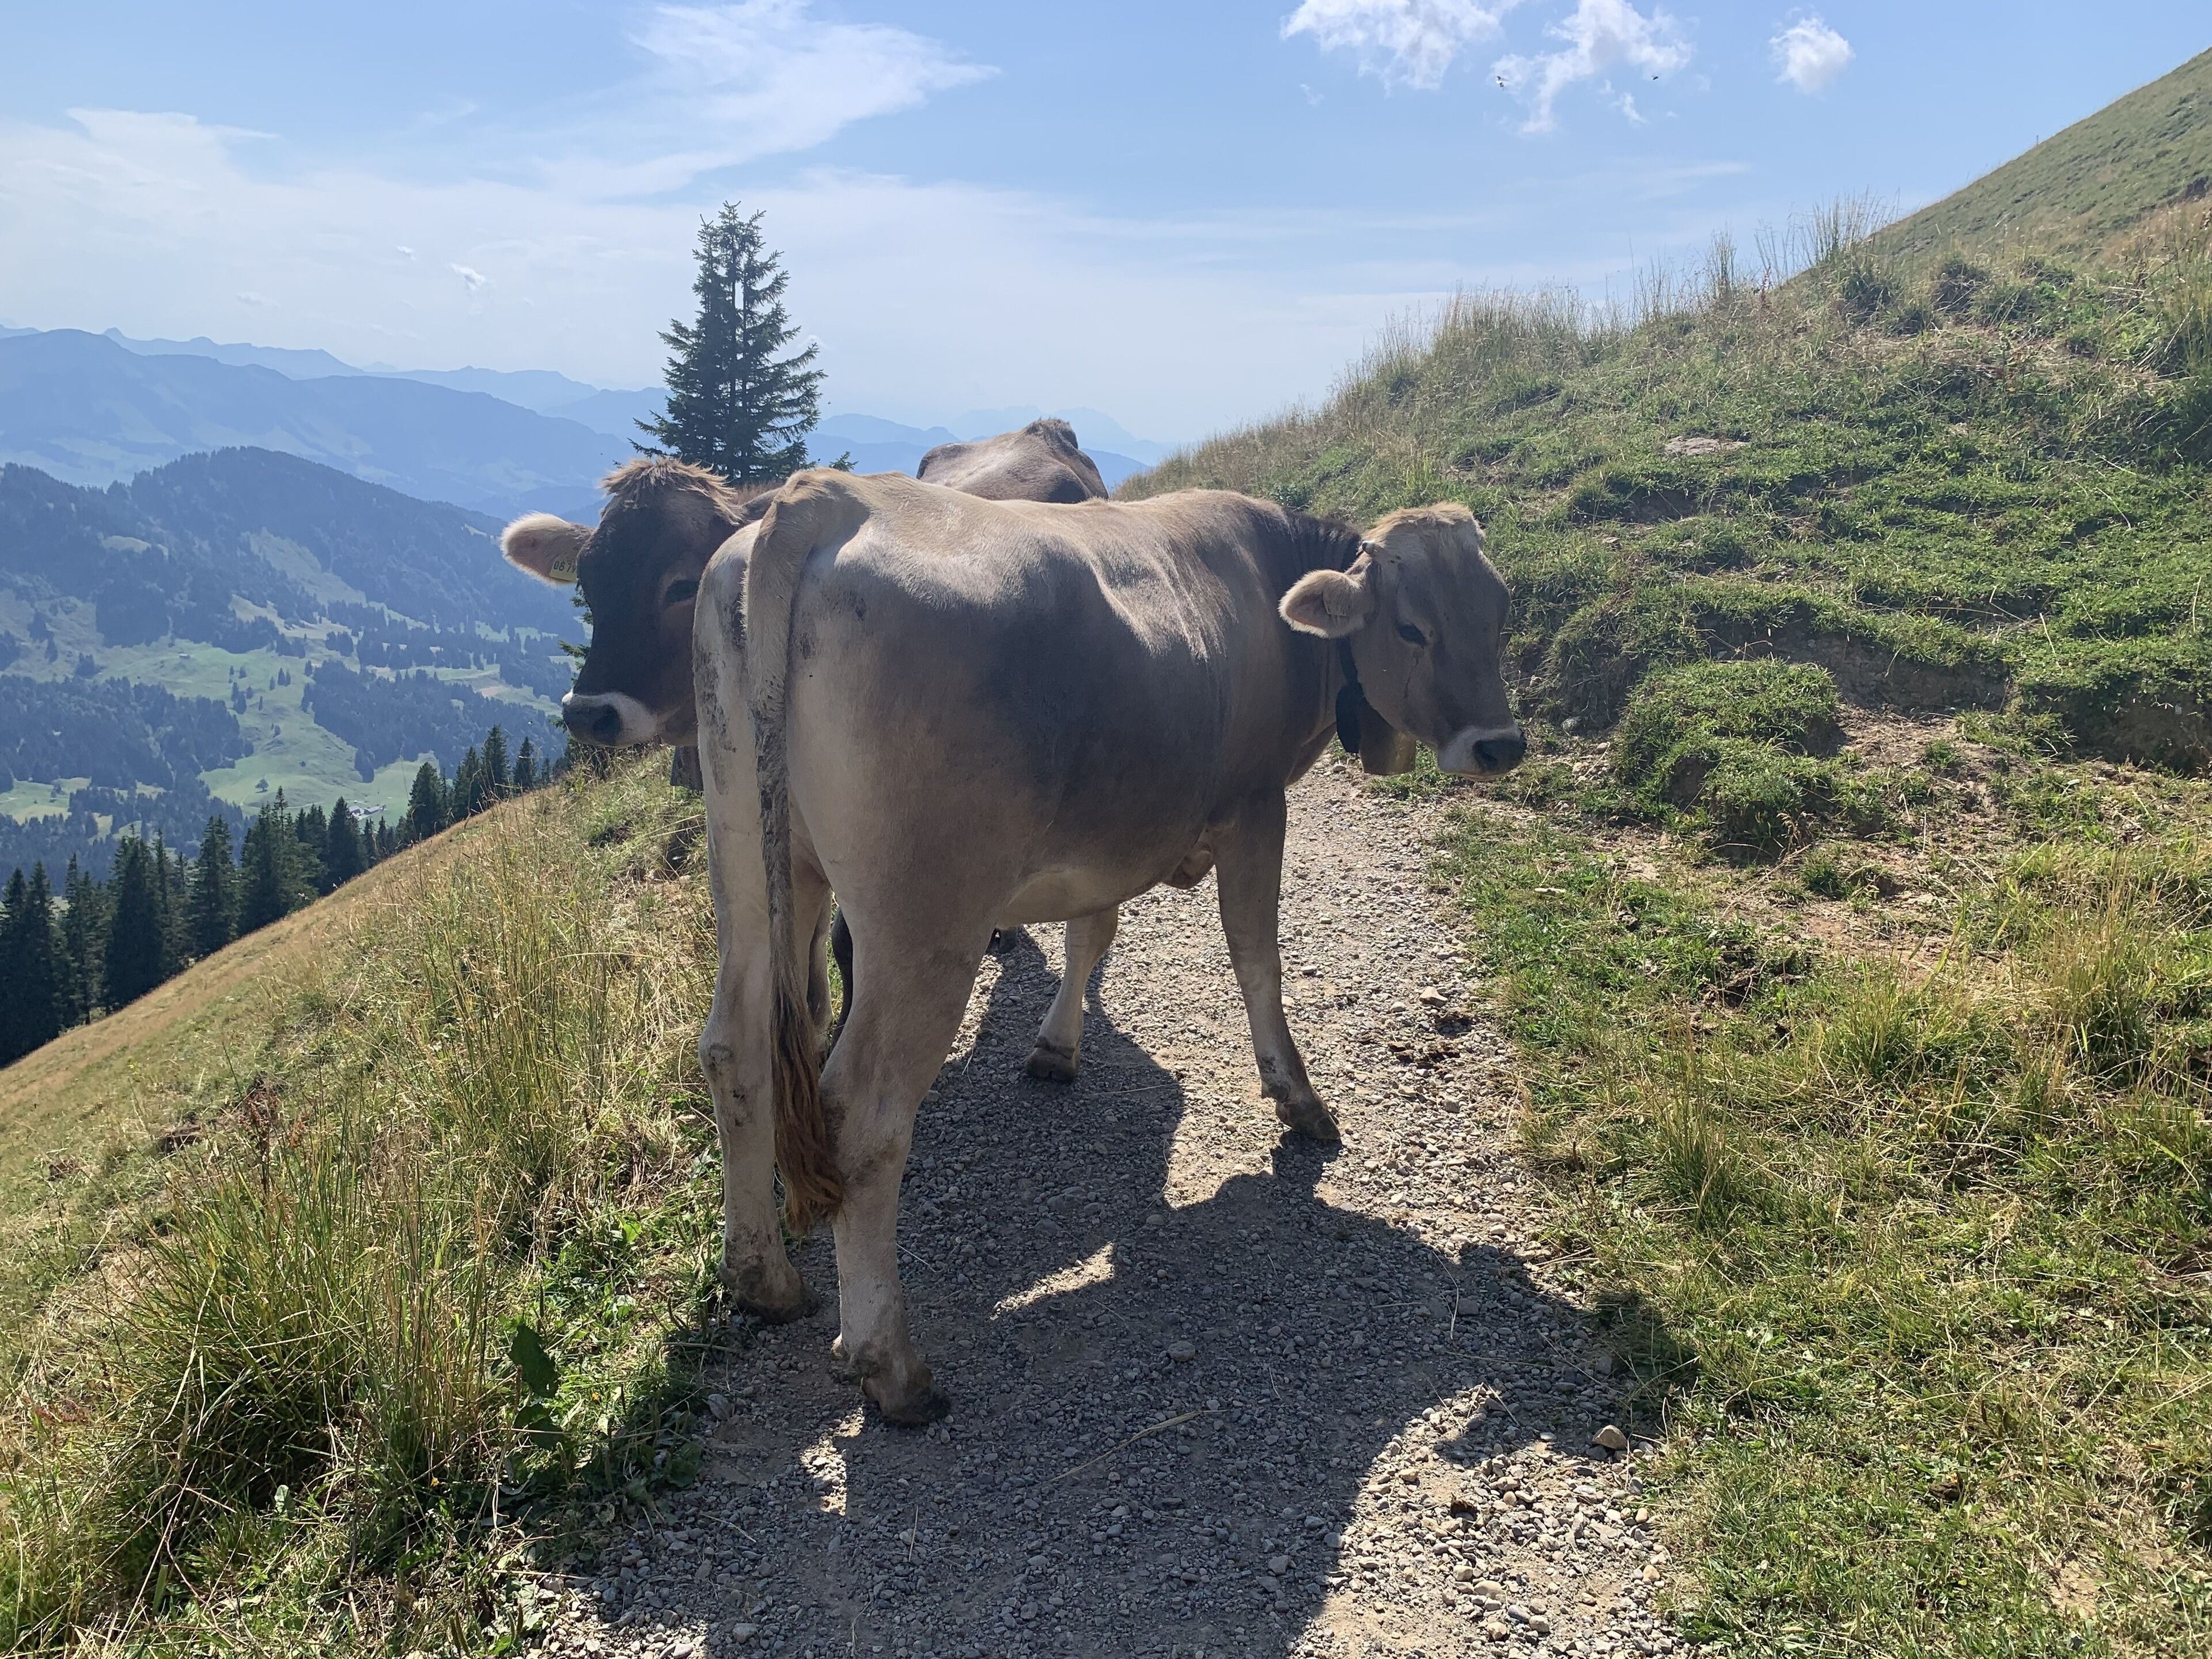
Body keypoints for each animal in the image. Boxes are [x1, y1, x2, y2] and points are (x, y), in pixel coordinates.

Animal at [690, 472, 1523, 1422]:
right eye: (1412, 626)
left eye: (1498, 610)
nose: (1501, 744)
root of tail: (828, 496)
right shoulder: (1255, 803)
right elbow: (1256, 955)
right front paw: (1299, 1098)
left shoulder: (1112, 836)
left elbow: (1096, 929)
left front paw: (1058, 1049)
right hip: (924, 921)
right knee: (864, 1116)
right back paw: (891, 1367)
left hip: (753, 860)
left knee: (734, 1050)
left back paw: (764, 1278)